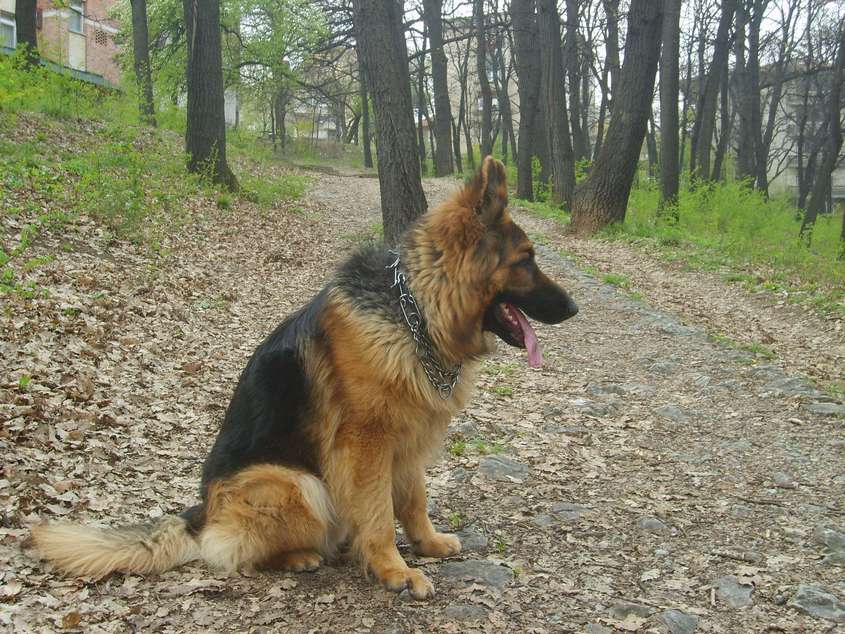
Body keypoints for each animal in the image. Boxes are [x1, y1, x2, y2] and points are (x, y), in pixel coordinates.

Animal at [32, 156, 578, 599]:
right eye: (526, 260)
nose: (574, 309)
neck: (415, 314)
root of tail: (200, 513)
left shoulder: (407, 438)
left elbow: (413, 498)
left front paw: (425, 543)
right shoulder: (366, 445)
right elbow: (379, 514)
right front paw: (394, 570)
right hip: (296, 483)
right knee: (235, 553)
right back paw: (300, 557)